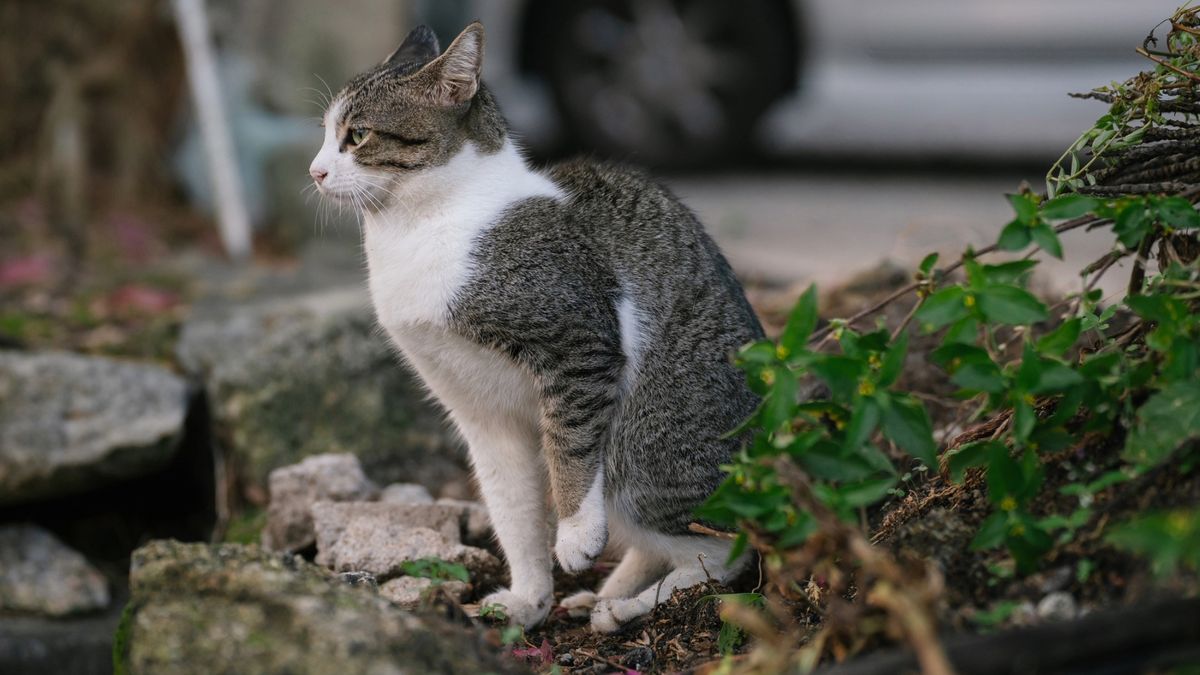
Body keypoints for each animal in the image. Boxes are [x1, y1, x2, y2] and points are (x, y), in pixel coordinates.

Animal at [304, 22, 763, 629]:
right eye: (325, 136)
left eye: (356, 136)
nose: (315, 170)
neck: (422, 225)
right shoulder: (479, 410)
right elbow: (512, 509)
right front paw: (528, 601)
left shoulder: (580, 342)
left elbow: (569, 447)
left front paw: (575, 535)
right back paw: (608, 593)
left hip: (640, 446)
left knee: (723, 550)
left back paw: (629, 606)